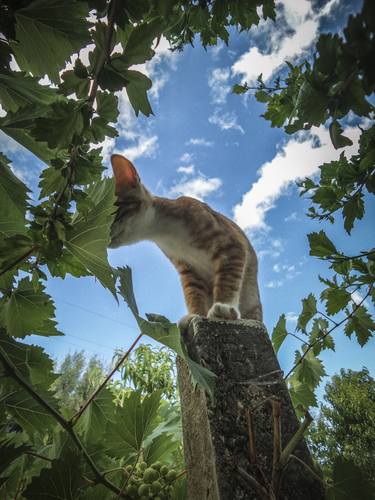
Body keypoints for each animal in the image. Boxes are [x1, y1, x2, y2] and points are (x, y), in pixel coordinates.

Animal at [108, 154, 262, 330]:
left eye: (112, 212)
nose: (104, 236)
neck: (170, 235)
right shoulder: (188, 268)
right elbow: (194, 293)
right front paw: (195, 315)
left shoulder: (231, 244)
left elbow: (227, 279)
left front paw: (223, 306)